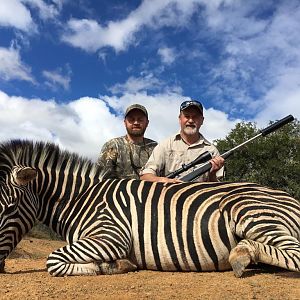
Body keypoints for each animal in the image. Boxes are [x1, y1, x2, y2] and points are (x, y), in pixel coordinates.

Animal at [0, 139, 298, 278]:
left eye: (10, 207)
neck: (83, 199)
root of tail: (290, 198)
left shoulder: (111, 236)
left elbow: (53, 260)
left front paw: (111, 265)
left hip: (249, 211)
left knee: (292, 252)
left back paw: (242, 254)